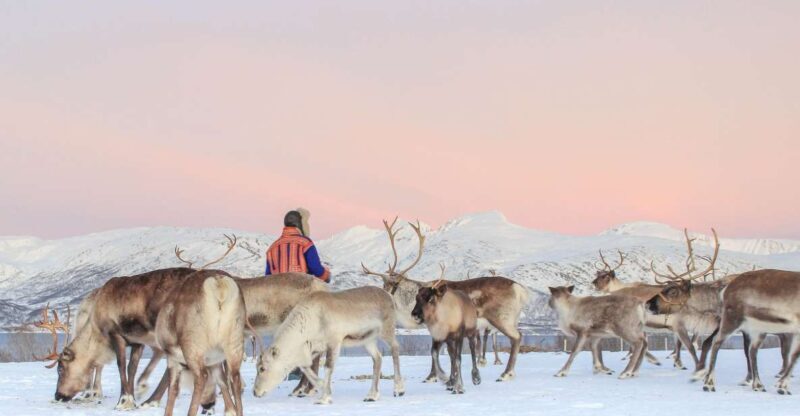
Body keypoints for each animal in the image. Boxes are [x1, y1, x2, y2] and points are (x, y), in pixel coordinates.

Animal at [253, 286, 405, 404]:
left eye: (262, 368)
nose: (255, 392)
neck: (311, 320)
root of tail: (389, 296)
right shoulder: (314, 348)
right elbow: (306, 367)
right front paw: (321, 387)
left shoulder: (334, 342)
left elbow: (327, 367)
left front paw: (324, 397)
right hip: (367, 340)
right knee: (377, 358)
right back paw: (372, 395)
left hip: (386, 331)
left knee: (395, 348)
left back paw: (399, 389)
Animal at [411, 264, 481, 394]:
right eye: (417, 297)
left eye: (431, 299)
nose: (415, 314)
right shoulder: (441, 337)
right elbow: (436, 354)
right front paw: (445, 378)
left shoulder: (459, 335)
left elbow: (458, 359)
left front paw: (459, 387)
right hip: (451, 340)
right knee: (451, 356)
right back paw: (451, 381)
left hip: (471, 332)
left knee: (473, 350)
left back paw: (475, 377)